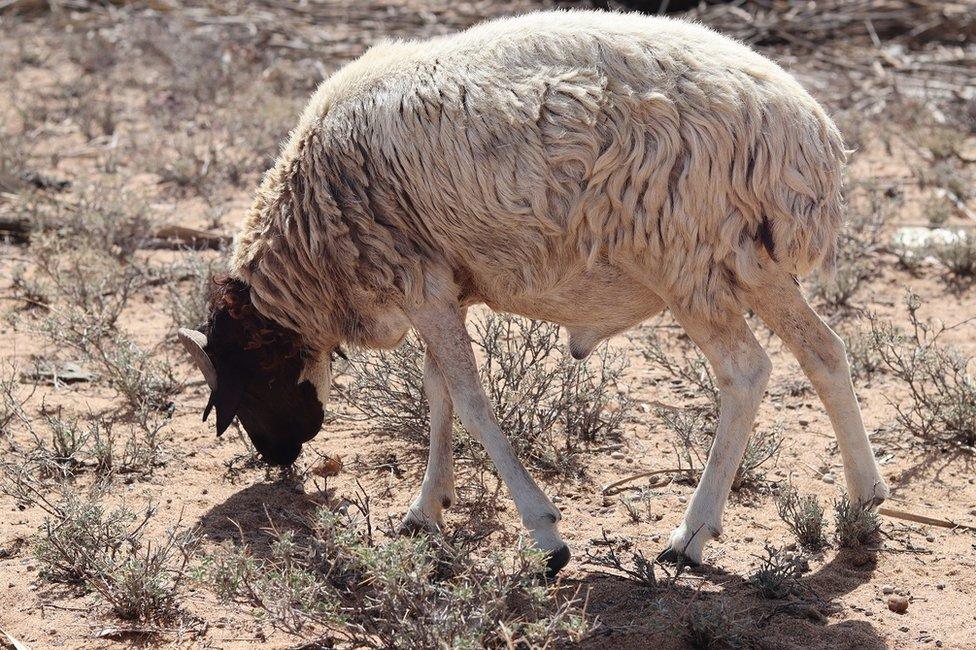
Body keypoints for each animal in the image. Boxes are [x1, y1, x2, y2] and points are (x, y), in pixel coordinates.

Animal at [177, 10, 892, 572]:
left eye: (246, 377)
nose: (277, 456)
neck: (310, 242)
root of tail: (809, 138)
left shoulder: (419, 283)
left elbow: (470, 404)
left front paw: (546, 537)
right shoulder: (445, 287)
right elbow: (438, 394)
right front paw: (427, 509)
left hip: (686, 260)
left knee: (746, 371)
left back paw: (691, 536)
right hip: (751, 261)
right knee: (825, 351)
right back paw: (865, 496)